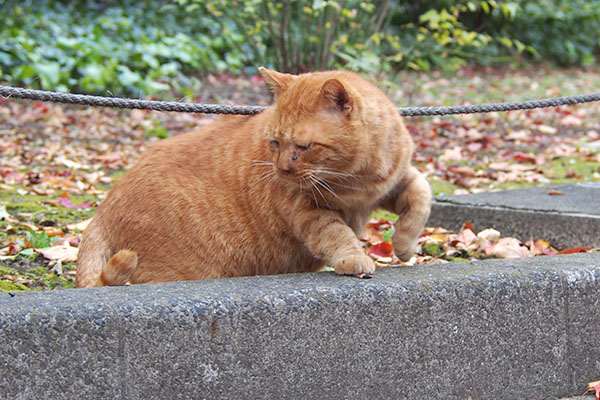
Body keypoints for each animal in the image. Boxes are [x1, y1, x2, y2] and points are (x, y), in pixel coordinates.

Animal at [76, 68, 432, 288]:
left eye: (304, 147)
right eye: (274, 142)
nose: (282, 169)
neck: (356, 181)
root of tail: (103, 210)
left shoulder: (398, 180)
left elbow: (422, 197)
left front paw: (404, 245)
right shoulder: (306, 210)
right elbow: (336, 234)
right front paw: (355, 258)